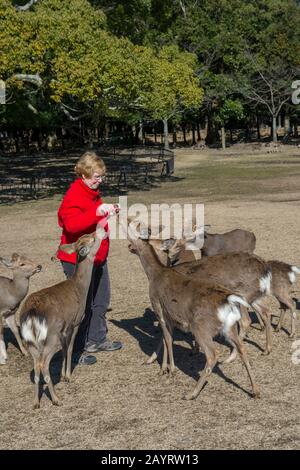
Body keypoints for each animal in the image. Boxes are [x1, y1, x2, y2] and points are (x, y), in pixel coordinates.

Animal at [17, 228, 106, 408]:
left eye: (88, 235)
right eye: (92, 238)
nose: (100, 229)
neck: (80, 288)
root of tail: (32, 312)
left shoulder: (64, 328)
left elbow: (65, 349)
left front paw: (65, 374)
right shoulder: (75, 321)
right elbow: (70, 348)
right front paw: (68, 376)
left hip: (30, 339)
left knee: (36, 365)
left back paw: (36, 402)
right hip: (51, 335)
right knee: (44, 363)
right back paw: (56, 399)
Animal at [127, 231, 258, 400]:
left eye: (136, 240)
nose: (128, 246)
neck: (155, 274)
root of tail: (228, 301)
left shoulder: (159, 309)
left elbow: (167, 339)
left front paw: (169, 371)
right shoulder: (171, 317)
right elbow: (166, 338)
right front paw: (162, 368)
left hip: (201, 328)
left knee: (212, 355)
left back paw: (191, 393)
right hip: (229, 328)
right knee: (242, 347)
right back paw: (255, 391)